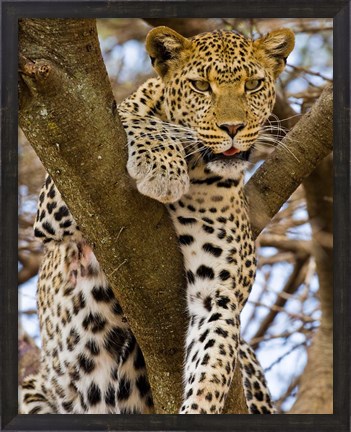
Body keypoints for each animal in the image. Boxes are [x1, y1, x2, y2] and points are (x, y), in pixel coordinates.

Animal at [20, 24, 296, 416]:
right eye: (201, 86)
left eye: (254, 84)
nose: (232, 127)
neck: (198, 167)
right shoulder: (58, 200)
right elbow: (137, 119)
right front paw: (162, 167)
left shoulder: (218, 298)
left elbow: (210, 374)